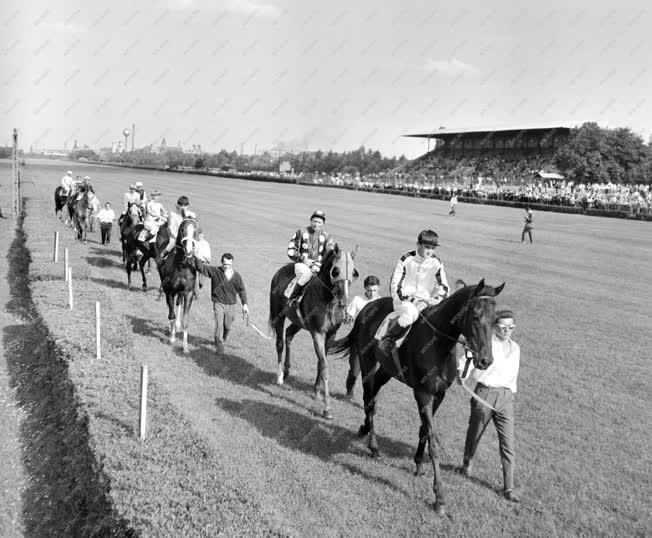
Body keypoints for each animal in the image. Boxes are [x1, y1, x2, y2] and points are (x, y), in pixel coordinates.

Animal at [157, 217, 197, 352]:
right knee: (171, 309)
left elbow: (185, 319)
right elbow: (171, 315)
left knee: (179, 303)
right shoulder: (170, 290)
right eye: (182, 229)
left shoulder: (188, 292)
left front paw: (185, 346)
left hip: (180, 292)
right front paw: (172, 338)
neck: (182, 265)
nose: (188, 250)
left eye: (195, 231)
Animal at [270, 244, 362, 418]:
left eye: (354, 272)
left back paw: (287, 369)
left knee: (289, 335)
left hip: (298, 322)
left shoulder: (331, 335)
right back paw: (279, 377)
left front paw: (317, 392)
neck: (329, 301)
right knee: (279, 343)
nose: (344, 301)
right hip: (278, 313)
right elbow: (324, 366)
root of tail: (282, 269)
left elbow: (321, 362)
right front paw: (327, 408)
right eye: (336, 271)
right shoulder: (318, 333)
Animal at [332, 278, 504, 512]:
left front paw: (418, 464)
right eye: (476, 315)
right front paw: (439, 497)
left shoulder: (439, 395)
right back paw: (374, 446)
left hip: (387, 370)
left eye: (495, 319)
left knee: (373, 396)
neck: (438, 344)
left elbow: (424, 431)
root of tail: (368, 306)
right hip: (367, 362)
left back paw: (364, 429)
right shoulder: (422, 394)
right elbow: (433, 441)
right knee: (368, 399)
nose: (485, 360)